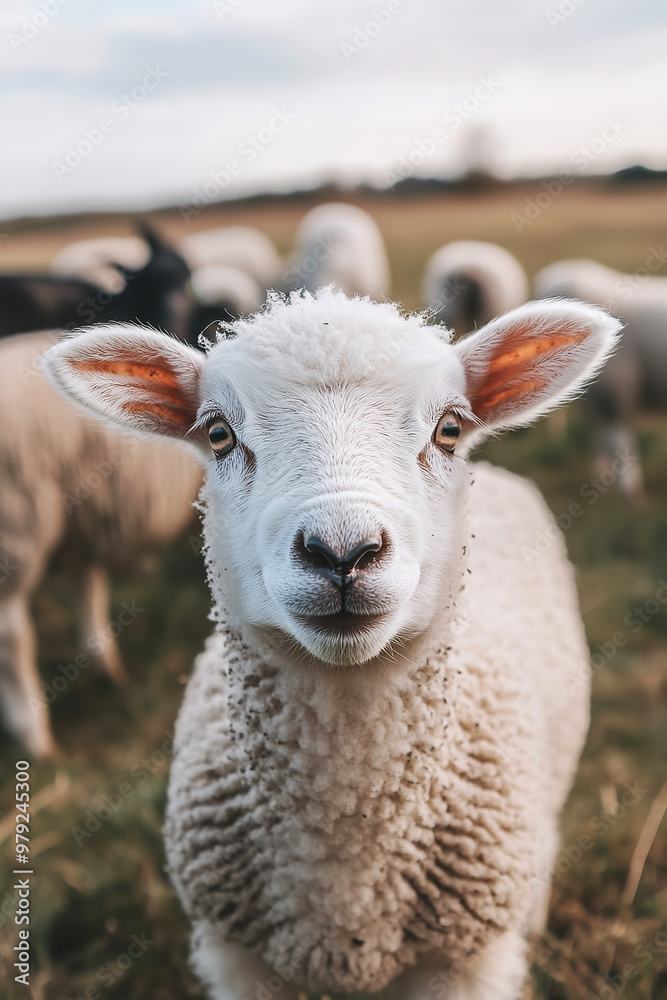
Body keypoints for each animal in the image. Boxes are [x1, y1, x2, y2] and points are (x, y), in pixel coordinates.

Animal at [534, 258, 667, 497]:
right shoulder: (604, 394)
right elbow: (605, 437)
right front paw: (608, 479)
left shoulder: (614, 389)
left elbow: (614, 439)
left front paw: (626, 486)